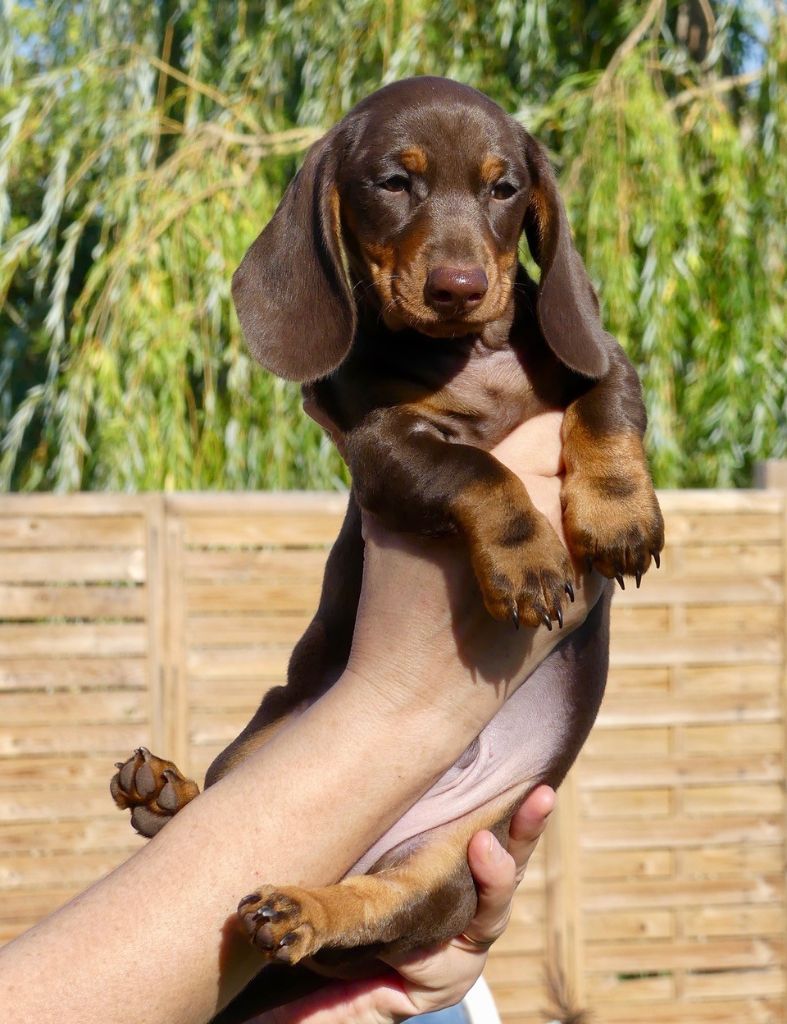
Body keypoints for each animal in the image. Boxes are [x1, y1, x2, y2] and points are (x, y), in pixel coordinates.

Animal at [112, 77, 663, 974]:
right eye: (392, 183)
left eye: (503, 188)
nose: (459, 285)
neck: (468, 355)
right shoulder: (380, 448)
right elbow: (476, 470)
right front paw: (528, 561)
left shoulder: (597, 354)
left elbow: (605, 408)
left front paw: (617, 518)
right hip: (277, 741)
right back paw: (177, 808)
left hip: (450, 864)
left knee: (374, 904)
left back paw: (277, 892)